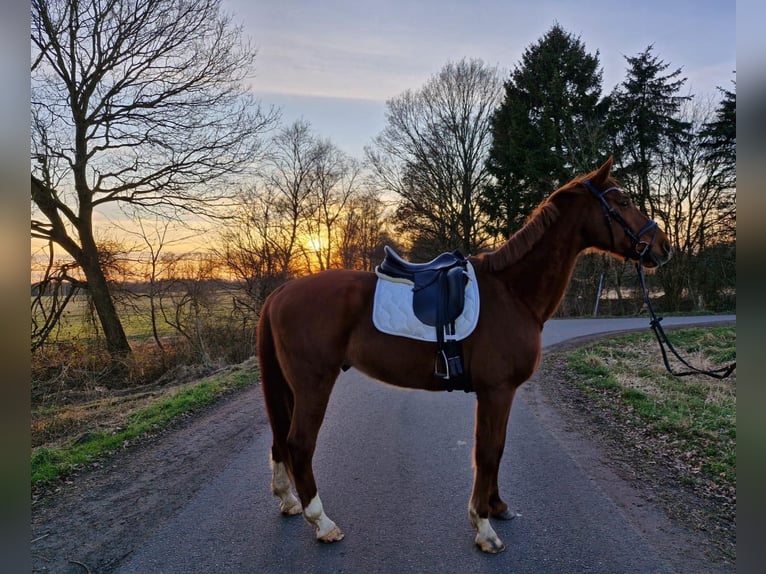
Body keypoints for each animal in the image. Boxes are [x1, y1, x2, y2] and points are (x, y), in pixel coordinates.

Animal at [256, 158, 672, 552]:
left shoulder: (500, 394)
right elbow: (488, 452)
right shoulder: (497, 391)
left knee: (281, 440)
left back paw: (289, 501)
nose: (663, 247)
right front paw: (484, 527)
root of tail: (280, 293)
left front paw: (497, 507)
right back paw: (322, 523)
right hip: (314, 384)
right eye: (623, 201)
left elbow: (496, 449)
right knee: (299, 444)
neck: (512, 292)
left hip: (292, 387)